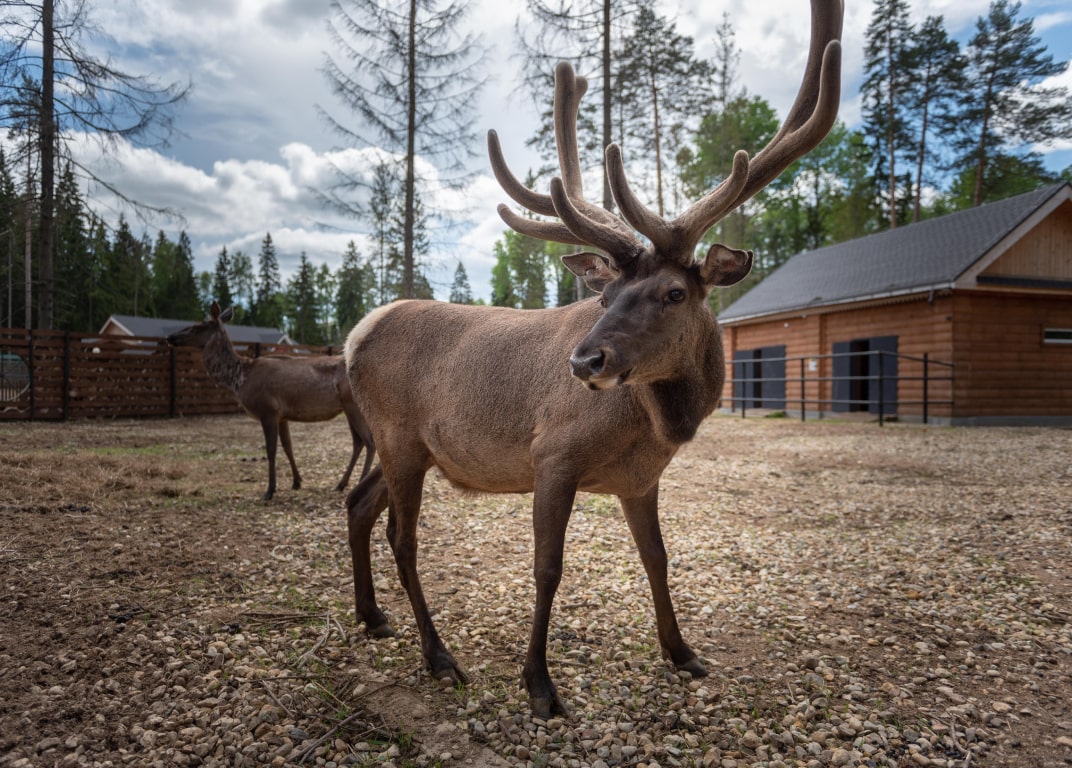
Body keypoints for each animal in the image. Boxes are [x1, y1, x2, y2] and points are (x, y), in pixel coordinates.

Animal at [168, 302, 375, 500]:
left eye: (197, 326)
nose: (170, 337)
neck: (240, 379)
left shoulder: (267, 410)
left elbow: (271, 450)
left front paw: (269, 490)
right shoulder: (282, 415)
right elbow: (288, 447)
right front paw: (297, 482)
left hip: (353, 405)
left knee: (369, 441)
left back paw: (359, 483)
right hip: (346, 408)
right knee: (358, 442)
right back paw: (341, 484)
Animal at [343, 0, 842, 718]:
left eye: (672, 292)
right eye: (605, 294)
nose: (584, 362)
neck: (654, 426)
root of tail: (355, 335)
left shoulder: (640, 479)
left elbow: (659, 558)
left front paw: (682, 652)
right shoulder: (553, 454)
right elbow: (547, 568)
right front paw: (539, 684)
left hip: (407, 447)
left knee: (357, 505)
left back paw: (372, 616)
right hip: (400, 438)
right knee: (402, 539)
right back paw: (438, 657)